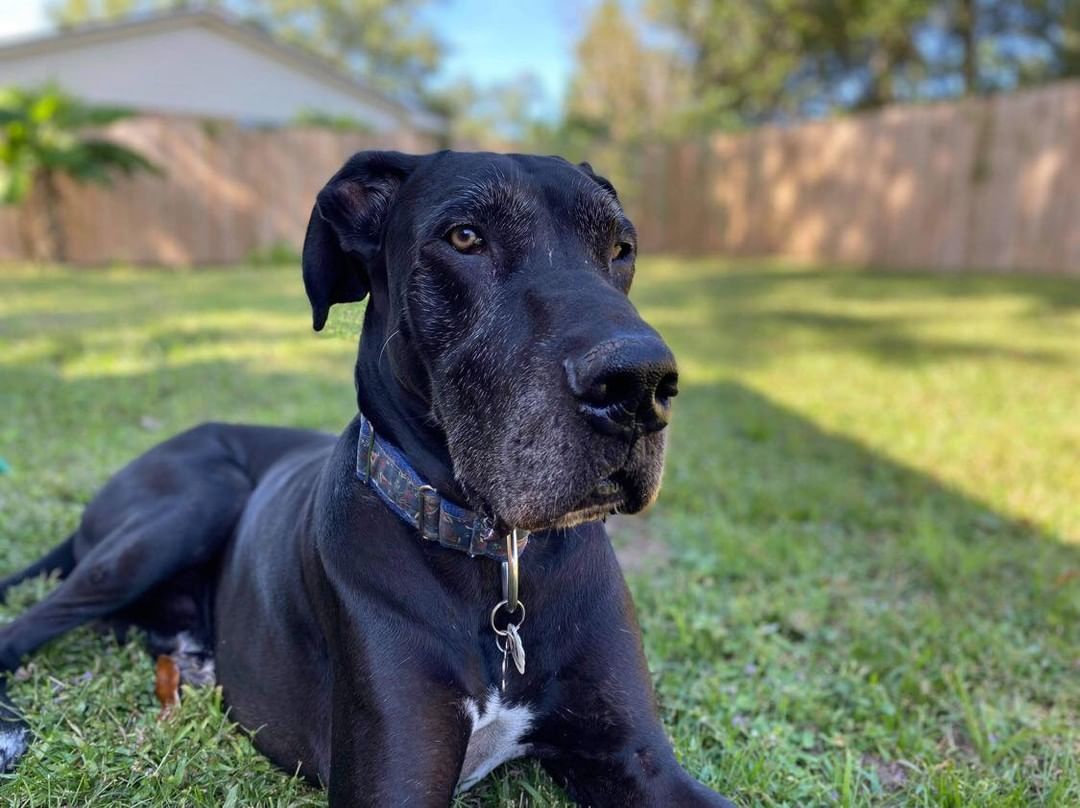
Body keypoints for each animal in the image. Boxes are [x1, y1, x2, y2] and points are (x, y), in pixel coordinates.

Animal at [0, 151, 734, 808]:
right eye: (464, 237)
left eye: (620, 247)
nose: (639, 386)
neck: (497, 563)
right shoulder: (394, 775)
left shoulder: (637, 758)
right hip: (187, 505)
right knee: (24, 626)